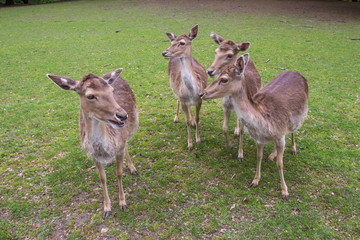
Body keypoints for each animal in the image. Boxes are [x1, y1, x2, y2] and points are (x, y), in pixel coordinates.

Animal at [46, 68, 138, 218]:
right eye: (90, 96)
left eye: (111, 90)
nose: (122, 115)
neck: (102, 149)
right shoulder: (93, 156)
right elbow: (102, 178)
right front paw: (106, 208)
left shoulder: (119, 145)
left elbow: (119, 173)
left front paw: (122, 203)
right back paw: (109, 161)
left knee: (127, 146)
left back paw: (132, 168)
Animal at [161, 24, 207, 152]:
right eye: (171, 42)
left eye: (182, 43)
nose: (164, 52)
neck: (192, 92)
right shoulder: (183, 100)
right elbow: (186, 121)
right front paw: (190, 144)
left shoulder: (200, 100)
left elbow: (198, 118)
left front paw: (198, 140)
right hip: (174, 88)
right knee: (177, 99)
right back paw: (176, 118)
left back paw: (193, 123)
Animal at [201, 53, 308, 200]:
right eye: (217, 75)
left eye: (224, 79)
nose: (202, 93)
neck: (263, 123)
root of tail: (298, 74)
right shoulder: (259, 139)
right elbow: (259, 157)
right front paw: (255, 181)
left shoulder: (280, 134)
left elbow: (280, 164)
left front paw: (285, 192)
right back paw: (271, 156)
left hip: (298, 117)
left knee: (293, 131)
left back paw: (292, 149)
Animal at [208, 33, 262, 161]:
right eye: (216, 51)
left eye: (229, 55)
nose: (210, 71)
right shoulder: (225, 107)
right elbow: (224, 128)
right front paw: (229, 145)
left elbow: (242, 130)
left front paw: (240, 154)